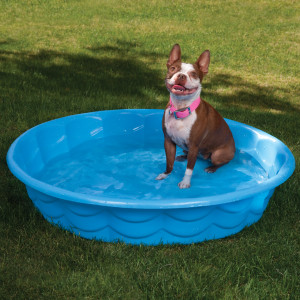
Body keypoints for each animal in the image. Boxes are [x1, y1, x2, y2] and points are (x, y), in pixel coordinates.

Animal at [156, 44, 236, 190]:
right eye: (173, 68)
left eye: (193, 74)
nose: (181, 75)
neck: (181, 108)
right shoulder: (168, 141)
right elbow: (169, 162)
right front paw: (165, 174)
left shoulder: (194, 145)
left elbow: (189, 169)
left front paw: (185, 182)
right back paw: (183, 156)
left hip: (217, 154)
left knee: (221, 162)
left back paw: (211, 168)